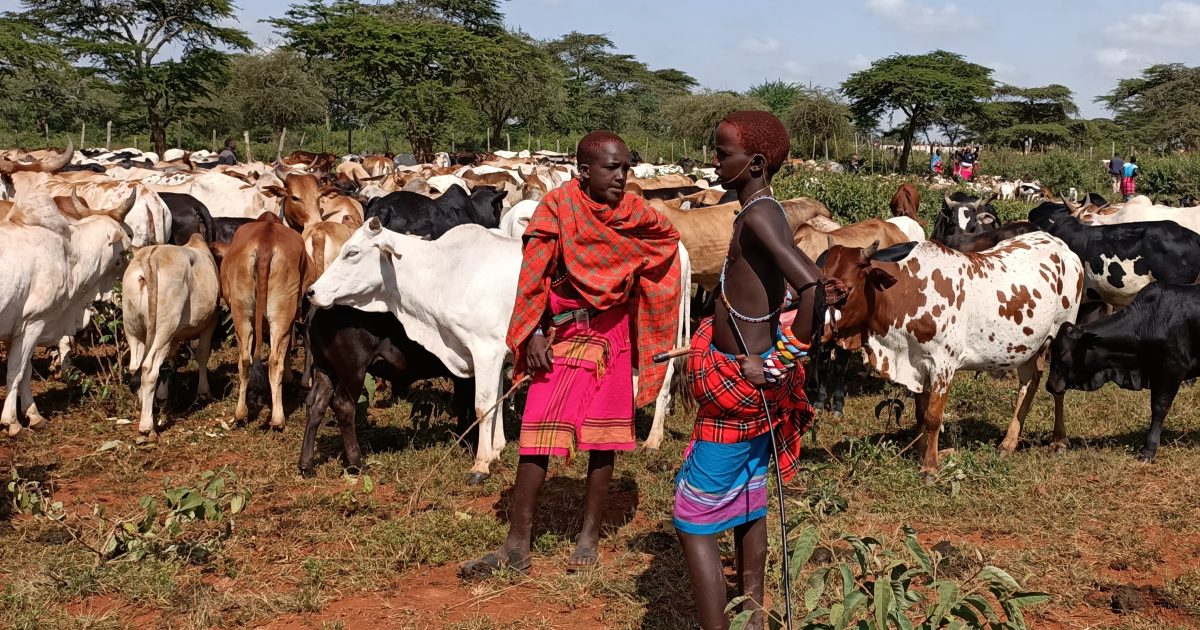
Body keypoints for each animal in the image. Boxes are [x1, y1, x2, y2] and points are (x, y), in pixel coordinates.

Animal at [0, 193, 134, 435]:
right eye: (130, 234)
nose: (138, 255)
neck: (71, 254)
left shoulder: (14, 330)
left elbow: (26, 371)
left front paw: (33, 415)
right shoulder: (33, 322)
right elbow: (16, 371)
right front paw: (12, 422)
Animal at [122, 234, 220, 438]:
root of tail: (150, 256)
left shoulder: (173, 337)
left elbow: (169, 363)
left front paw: (162, 397)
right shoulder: (210, 322)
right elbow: (202, 355)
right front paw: (204, 392)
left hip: (134, 329)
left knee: (136, 366)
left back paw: (147, 408)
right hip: (163, 329)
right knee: (149, 368)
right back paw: (147, 425)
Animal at [219, 213, 309, 429]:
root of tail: (265, 244)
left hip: (241, 310)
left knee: (245, 359)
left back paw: (241, 413)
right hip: (282, 310)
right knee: (275, 360)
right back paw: (277, 419)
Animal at [299, 305, 474, 476]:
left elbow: (463, 406)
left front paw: (463, 440)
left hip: (324, 367)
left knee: (315, 405)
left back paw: (306, 466)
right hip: (353, 369)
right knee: (343, 406)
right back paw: (357, 463)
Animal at [820, 232, 1083, 472]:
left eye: (846, 289)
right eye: (821, 283)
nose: (820, 332)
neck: (906, 294)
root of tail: (1061, 245)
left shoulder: (943, 364)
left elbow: (933, 417)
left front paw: (930, 465)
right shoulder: (918, 366)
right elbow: (920, 414)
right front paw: (920, 452)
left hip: (1062, 332)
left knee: (1057, 387)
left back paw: (1059, 440)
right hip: (1027, 347)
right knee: (1029, 382)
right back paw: (1009, 441)